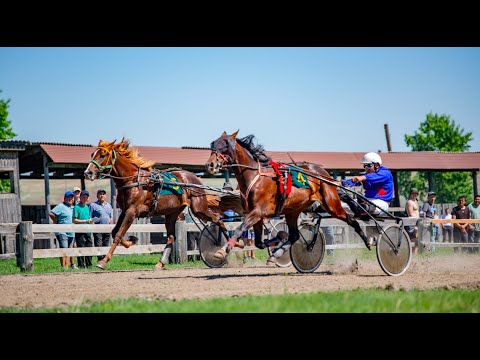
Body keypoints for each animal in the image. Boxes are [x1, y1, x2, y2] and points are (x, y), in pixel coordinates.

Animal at [84, 139, 229, 268]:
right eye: (92, 154)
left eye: (103, 155)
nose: (88, 172)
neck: (134, 181)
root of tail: (196, 179)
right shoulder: (124, 211)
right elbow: (115, 232)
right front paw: (131, 241)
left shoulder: (132, 211)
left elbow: (118, 234)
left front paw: (103, 261)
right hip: (172, 213)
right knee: (171, 237)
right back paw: (161, 262)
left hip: (198, 208)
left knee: (218, 219)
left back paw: (224, 247)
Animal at [204, 130, 370, 262]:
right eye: (213, 145)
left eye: (225, 145)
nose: (210, 165)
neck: (255, 177)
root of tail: (325, 175)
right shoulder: (256, 215)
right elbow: (258, 242)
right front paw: (279, 238)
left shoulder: (258, 212)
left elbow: (240, 228)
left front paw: (222, 250)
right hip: (293, 210)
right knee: (294, 236)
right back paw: (276, 254)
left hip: (331, 205)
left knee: (351, 219)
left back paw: (368, 241)